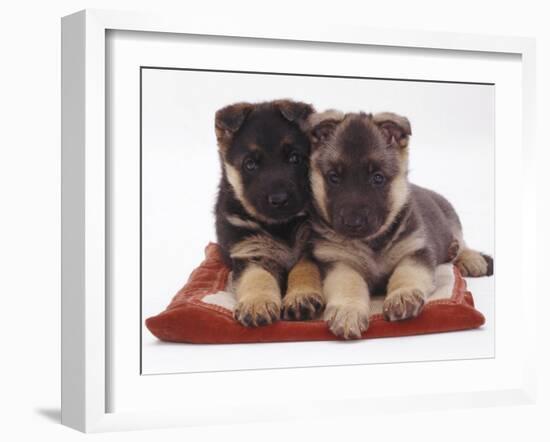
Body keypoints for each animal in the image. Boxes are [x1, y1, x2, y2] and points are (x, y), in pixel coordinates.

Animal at [215, 101, 328, 328]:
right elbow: (257, 277)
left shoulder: (310, 248)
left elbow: (304, 269)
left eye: (294, 158)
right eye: (250, 164)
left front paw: (301, 296)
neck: (281, 226)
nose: (279, 199)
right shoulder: (249, 252)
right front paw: (257, 303)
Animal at [308, 109, 494, 338]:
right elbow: (348, 284)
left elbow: (406, 274)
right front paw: (348, 310)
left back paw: (469, 258)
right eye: (334, 178)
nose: (353, 223)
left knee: (462, 242)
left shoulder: (415, 252)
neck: (373, 243)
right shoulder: (338, 263)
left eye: (377, 178)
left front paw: (402, 295)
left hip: (451, 221)